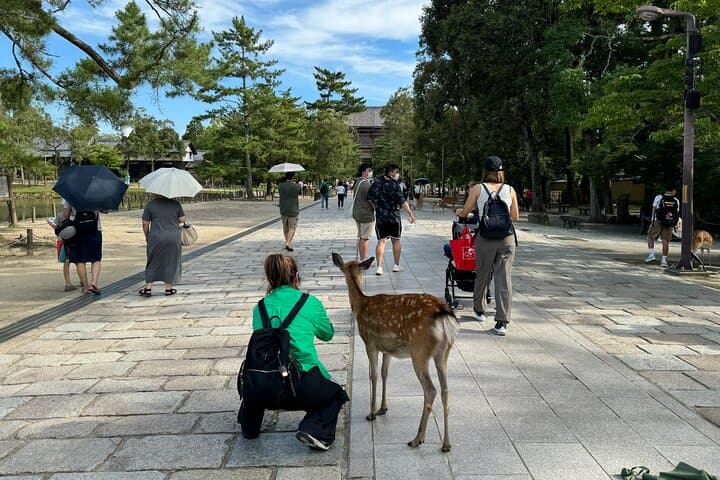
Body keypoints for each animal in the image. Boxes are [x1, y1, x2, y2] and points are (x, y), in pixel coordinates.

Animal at [332, 252, 459, 452]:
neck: (361, 305)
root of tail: (444, 314)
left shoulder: (370, 342)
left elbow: (374, 375)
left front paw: (372, 413)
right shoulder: (387, 350)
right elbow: (385, 374)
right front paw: (383, 408)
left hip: (419, 352)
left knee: (431, 390)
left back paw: (417, 438)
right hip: (443, 353)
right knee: (445, 390)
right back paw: (446, 444)